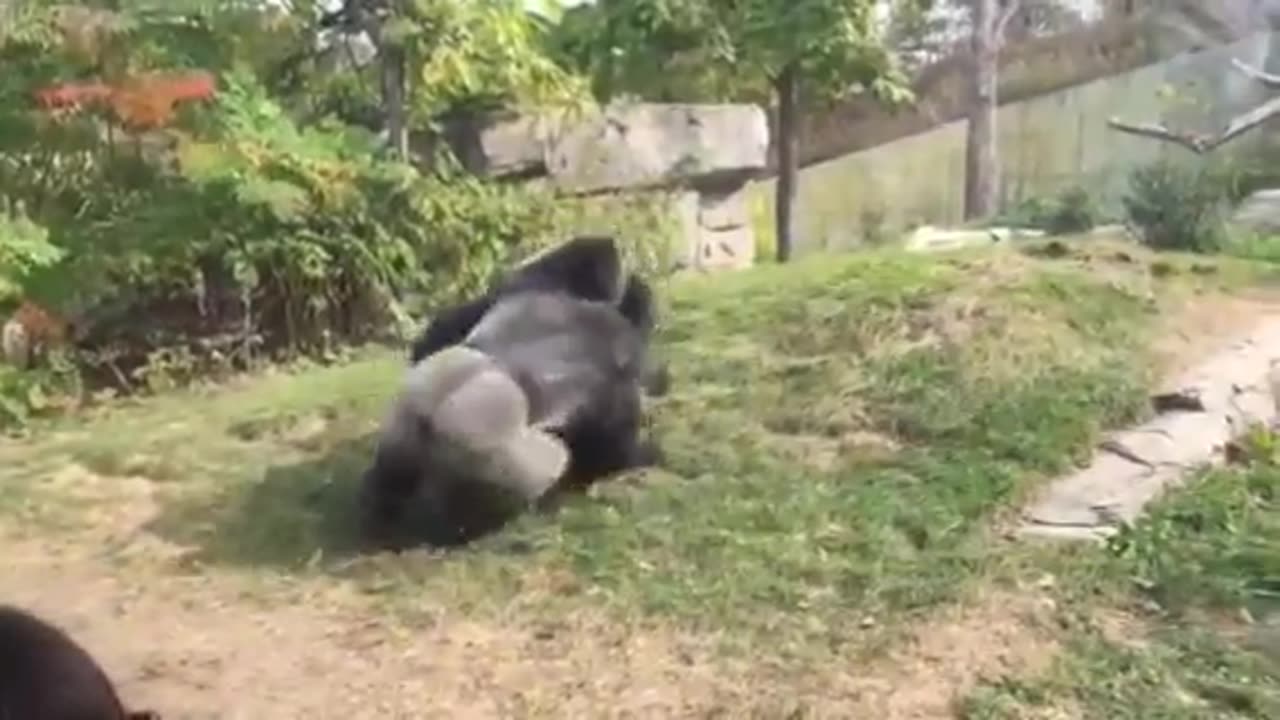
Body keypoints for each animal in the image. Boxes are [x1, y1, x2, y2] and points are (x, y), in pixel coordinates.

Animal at [358, 235, 665, 548]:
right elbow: (612, 445)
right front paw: (646, 453)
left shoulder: (528, 283)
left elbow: (438, 332)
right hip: (489, 456)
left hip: (406, 416)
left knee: (392, 473)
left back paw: (379, 510)